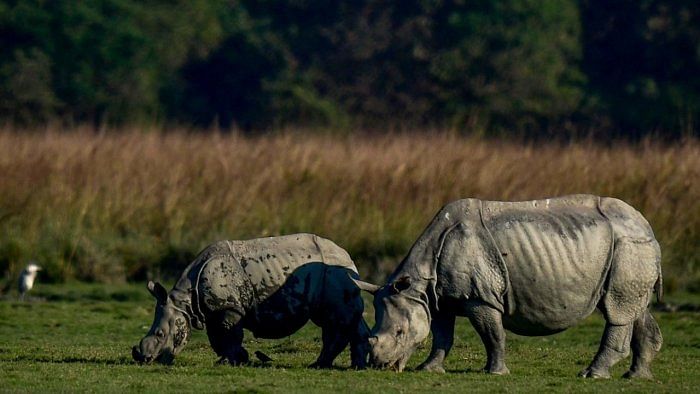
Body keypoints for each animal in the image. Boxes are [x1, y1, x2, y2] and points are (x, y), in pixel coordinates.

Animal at [133, 232, 370, 368]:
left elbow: (228, 334)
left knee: (335, 320)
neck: (184, 301)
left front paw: (229, 361)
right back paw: (353, 366)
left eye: (160, 334)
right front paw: (238, 358)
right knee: (343, 319)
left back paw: (322, 366)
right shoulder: (213, 310)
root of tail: (347, 255)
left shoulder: (229, 308)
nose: (143, 359)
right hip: (334, 276)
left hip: (333, 274)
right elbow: (217, 338)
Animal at [352, 195, 664, 378]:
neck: (418, 284)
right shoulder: (438, 298)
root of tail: (648, 226)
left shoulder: (479, 296)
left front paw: (495, 373)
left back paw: (592, 375)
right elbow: (442, 335)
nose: (378, 365)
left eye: (400, 332)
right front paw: (429, 370)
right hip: (632, 248)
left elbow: (492, 334)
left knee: (617, 309)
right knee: (634, 307)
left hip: (629, 245)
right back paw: (636, 377)